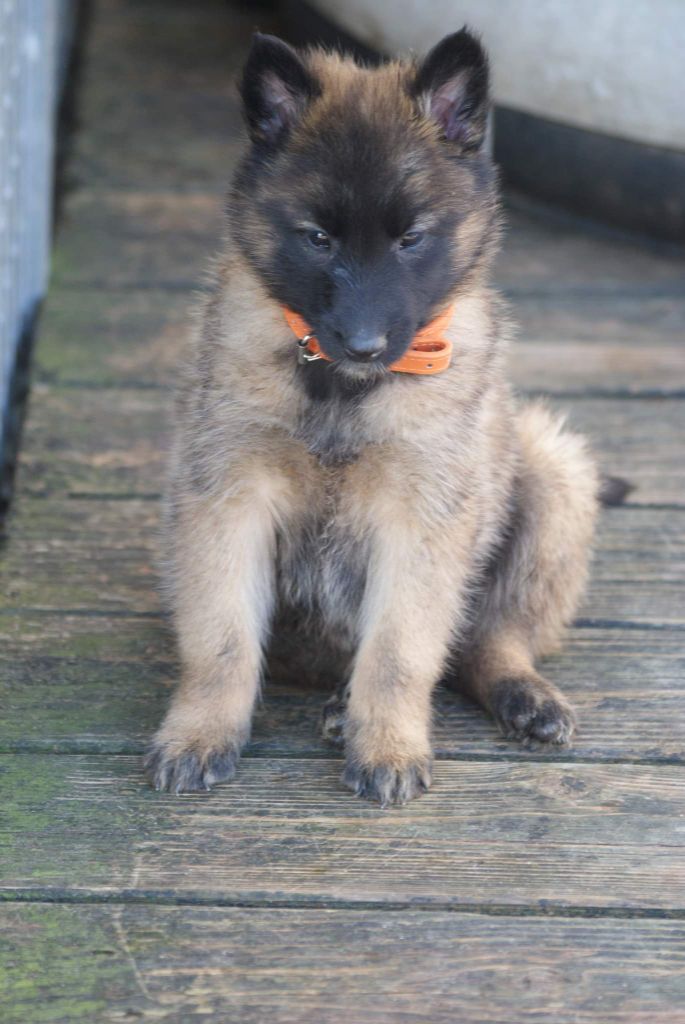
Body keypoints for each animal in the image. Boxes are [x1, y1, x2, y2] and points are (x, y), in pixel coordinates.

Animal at [145, 28, 597, 802]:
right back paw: (336, 706)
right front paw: (200, 733)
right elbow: (222, 639)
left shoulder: (422, 517)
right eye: (317, 238)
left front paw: (387, 745)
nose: (363, 344)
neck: (340, 390)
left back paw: (521, 696)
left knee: (488, 639)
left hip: (551, 471)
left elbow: (399, 651)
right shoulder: (227, 497)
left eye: (410, 238)